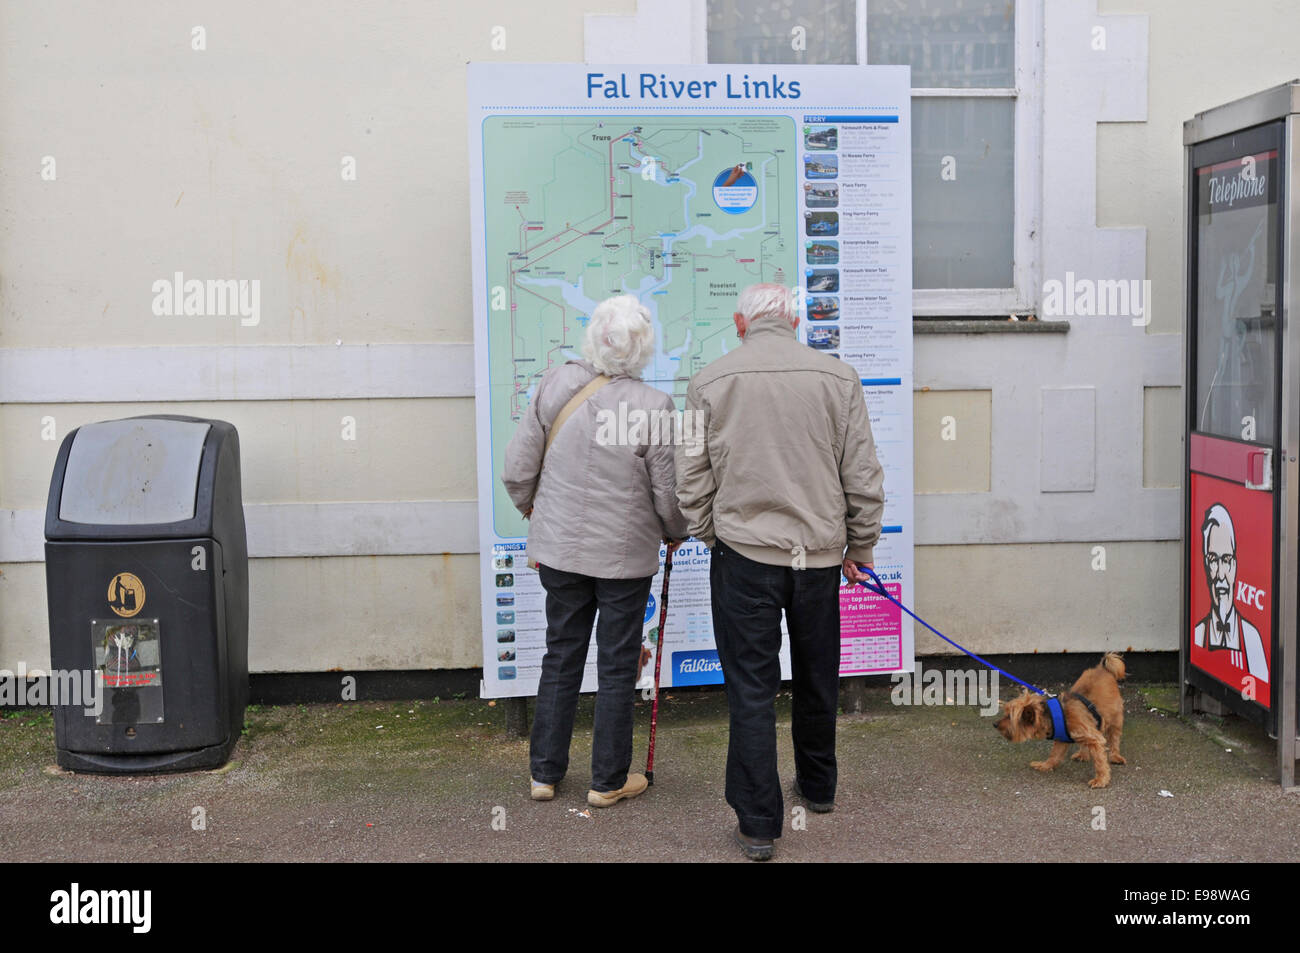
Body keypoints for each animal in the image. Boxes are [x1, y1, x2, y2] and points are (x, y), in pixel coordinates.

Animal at [993, 655, 1128, 790]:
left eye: (1009, 717)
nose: (995, 724)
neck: (1053, 715)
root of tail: (1103, 668)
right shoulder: (1063, 738)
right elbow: (1054, 755)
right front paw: (1046, 765)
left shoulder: (1093, 737)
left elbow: (1100, 761)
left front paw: (1100, 779)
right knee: (1085, 743)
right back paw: (1083, 754)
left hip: (1115, 719)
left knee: (1114, 739)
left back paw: (1115, 756)